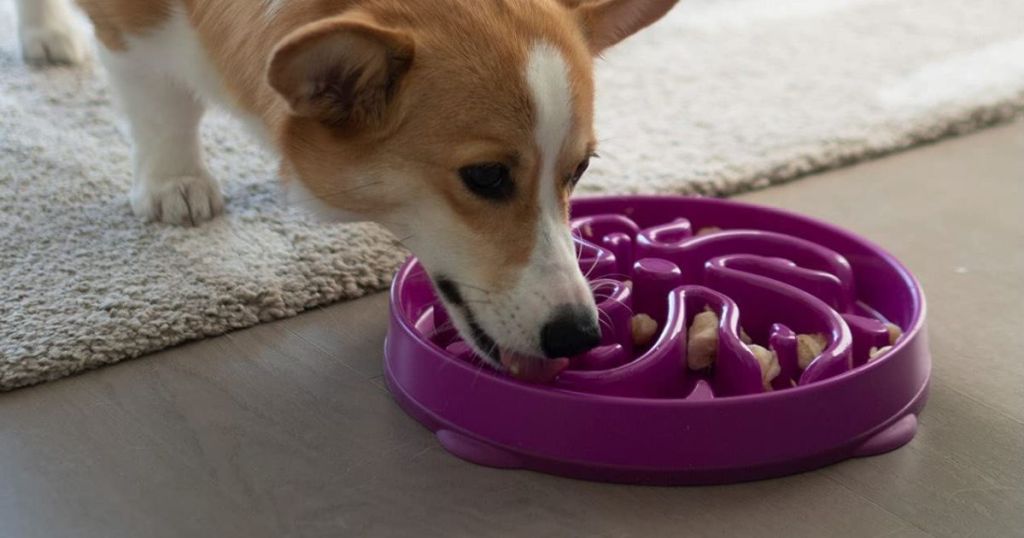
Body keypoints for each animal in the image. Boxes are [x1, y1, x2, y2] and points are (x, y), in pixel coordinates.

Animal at [14, 0, 679, 377]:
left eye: (580, 170)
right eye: (486, 176)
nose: (580, 335)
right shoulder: (132, 31)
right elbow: (162, 103)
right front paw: (175, 182)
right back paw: (45, 33)